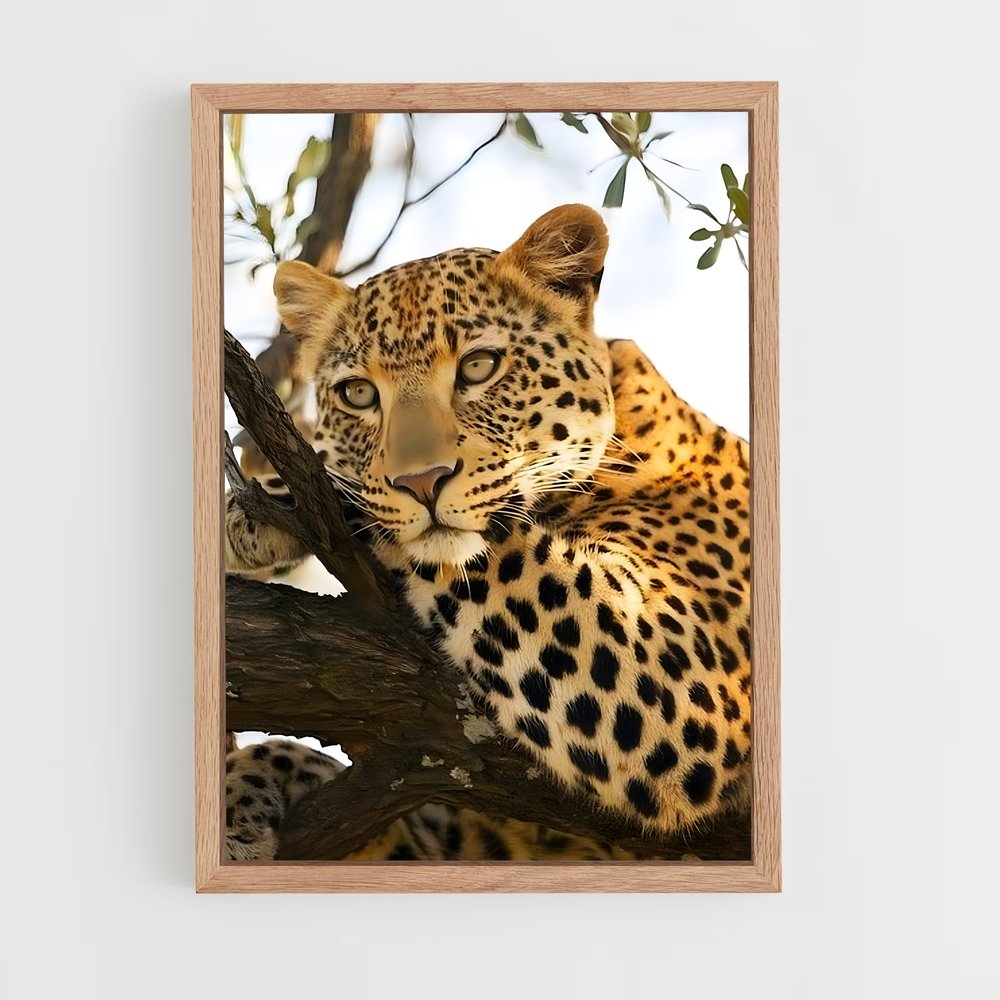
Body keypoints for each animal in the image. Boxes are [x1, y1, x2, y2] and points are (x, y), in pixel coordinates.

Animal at [225, 203, 751, 860]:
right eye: (359, 394)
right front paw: (239, 794)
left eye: (479, 367)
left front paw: (280, 495)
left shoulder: (685, 673)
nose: (422, 481)